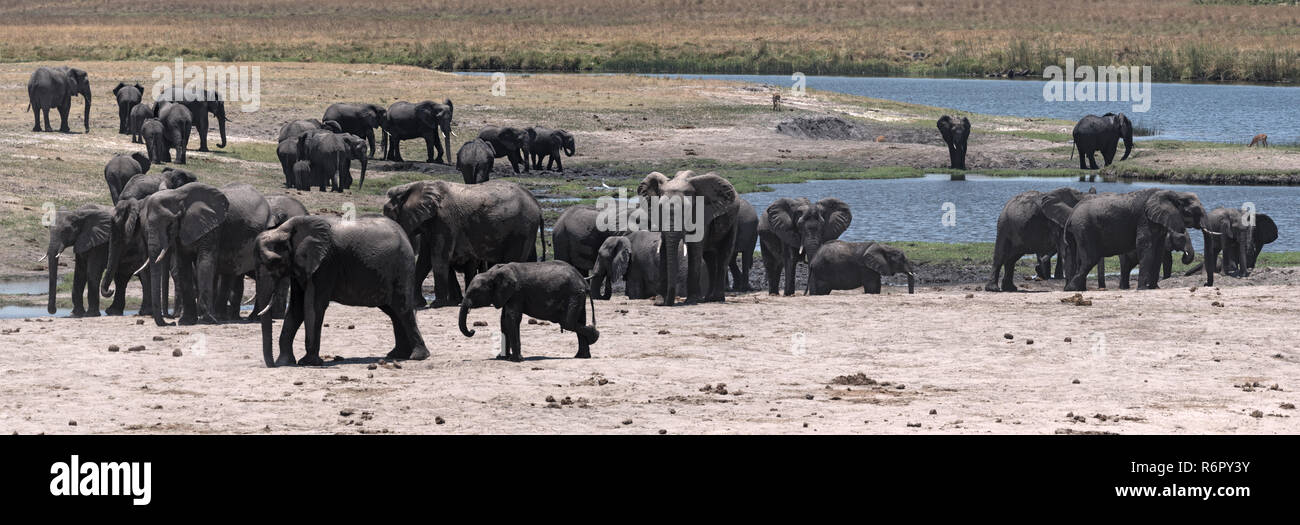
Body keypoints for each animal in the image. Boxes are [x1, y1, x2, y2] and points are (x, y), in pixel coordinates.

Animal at [138, 181, 270, 326]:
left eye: (170, 224)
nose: (171, 322)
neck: (177, 194)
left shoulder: (212, 227)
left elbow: (205, 262)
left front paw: (207, 320)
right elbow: (183, 264)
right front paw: (186, 321)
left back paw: (251, 318)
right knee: (229, 272)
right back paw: (222, 317)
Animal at [254, 215, 431, 366]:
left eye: (273, 261)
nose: (271, 365)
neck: (284, 229)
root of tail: (405, 234)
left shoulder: (325, 263)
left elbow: (313, 306)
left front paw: (308, 363)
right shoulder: (300, 266)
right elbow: (296, 308)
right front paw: (284, 363)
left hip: (402, 267)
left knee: (403, 309)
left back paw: (418, 356)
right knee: (394, 312)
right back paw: (397, 355)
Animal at [384, 179, 548, 307]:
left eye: (388, 212)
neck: (414, 186)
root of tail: (538, 206)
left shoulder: (445, 221)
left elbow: (438, 258)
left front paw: (437, 304)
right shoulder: (429, 223)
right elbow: (424, 260)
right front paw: (418, 304)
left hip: (523, 228)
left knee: (513, 260)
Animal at [457, 261, 598, 361]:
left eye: (475, 292)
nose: (472, 331)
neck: (491, 274)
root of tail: (584, 281)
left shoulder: (516, 293)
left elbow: (511, 319)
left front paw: (516, 360)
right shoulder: (507, 295)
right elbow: (504, 321)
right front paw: (503, 358)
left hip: (574, 295)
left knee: (567, 322)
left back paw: (594, 336)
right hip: (578, 295)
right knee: (578, 320)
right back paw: (582, 356)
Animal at [639, 170, 743, 305]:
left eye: (686, 210)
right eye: (659, 209)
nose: (669, 302)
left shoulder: (702, 213)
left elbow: (694, 248)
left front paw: (692, 301)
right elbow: (663, 248)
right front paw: (659, 302)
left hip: (733, 221)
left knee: (723, 255)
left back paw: (716, 298)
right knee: (709, 259)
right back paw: (708, 298)